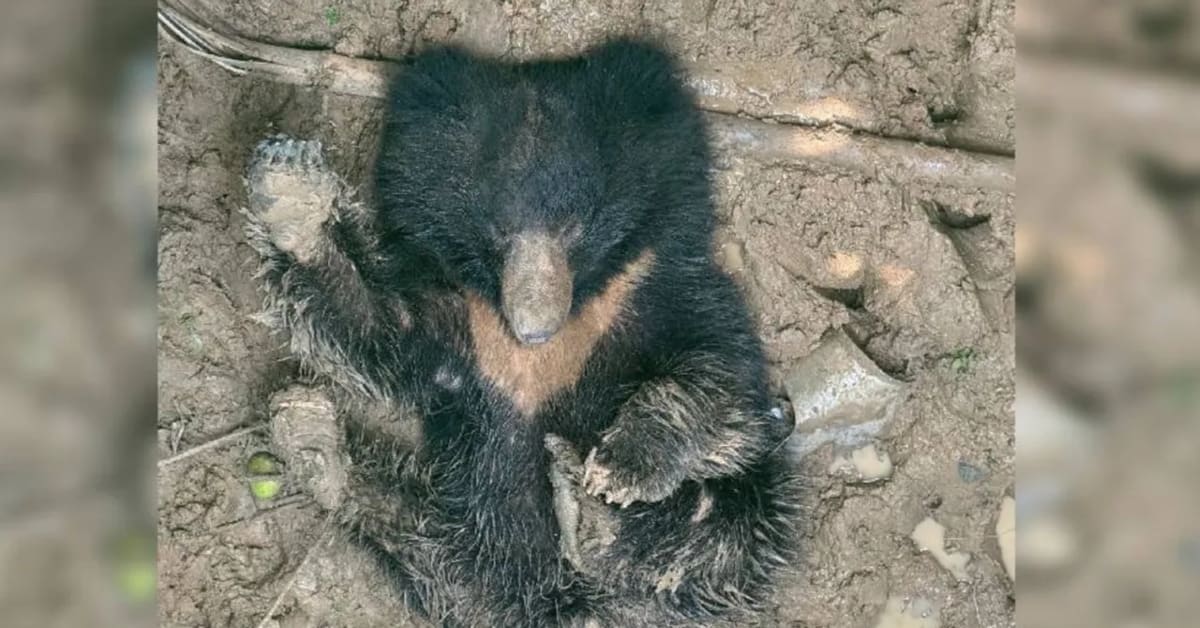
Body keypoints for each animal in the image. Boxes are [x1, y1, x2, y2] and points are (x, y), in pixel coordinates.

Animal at [243, 38, 799, 627]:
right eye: (499, 230)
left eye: (574, 226)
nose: (534, 327)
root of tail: (572, 607)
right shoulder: (465, 325)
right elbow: (374, 331)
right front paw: (293, 195)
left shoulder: (666, 288)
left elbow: (719, 379)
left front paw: (620, 467)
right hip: (470, 554)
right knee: (421, 538)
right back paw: (314, 441)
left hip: (739, 524)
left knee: (726, 527)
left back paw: (592, 518)